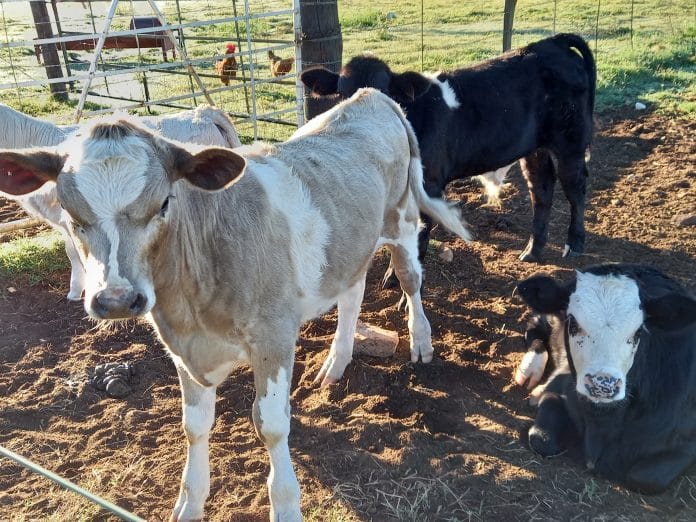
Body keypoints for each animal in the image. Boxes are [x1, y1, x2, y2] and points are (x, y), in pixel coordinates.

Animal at [0, 88, 470, 520]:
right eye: (70, 213)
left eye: (164, 202)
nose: (116, 299)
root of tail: (370, 96)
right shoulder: (182, 350)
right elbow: (193, 426)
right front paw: (189, 503)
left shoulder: (274, 338)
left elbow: (271, 424)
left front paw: (286, 506)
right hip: (349, 247)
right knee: (352, 295)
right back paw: (336, 363)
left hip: (402, 219)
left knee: (410, 279)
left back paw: (421, 341)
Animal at [301, 33, 596, 287]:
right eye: (341, 93)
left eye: (386, 94)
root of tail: (550, 44)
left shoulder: (429, 185)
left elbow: (418, 238)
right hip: (536, 148)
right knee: (541, 190)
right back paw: (533, 250)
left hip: (570, 142)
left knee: (575, 188)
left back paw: (574, 244)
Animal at [516, 264, 696, 494]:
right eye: (572, 322)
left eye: (639, 330)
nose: (602, 385)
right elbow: (541, 438)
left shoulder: (688, 441)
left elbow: (645, 478)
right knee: (536, 326)